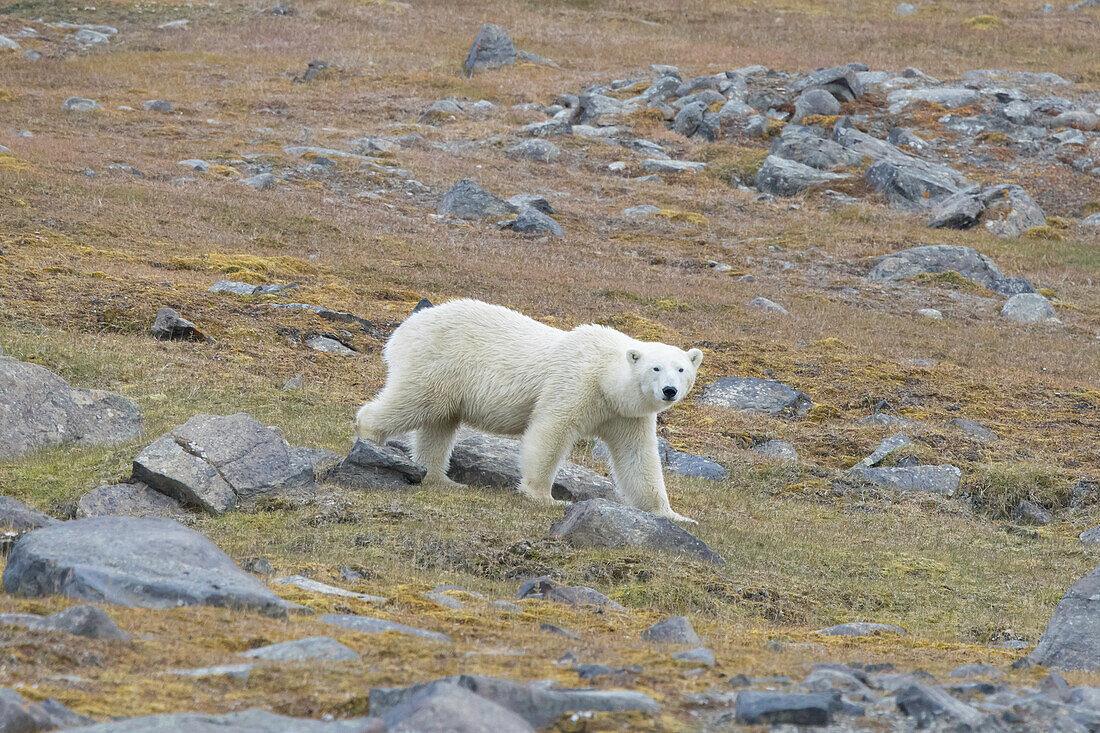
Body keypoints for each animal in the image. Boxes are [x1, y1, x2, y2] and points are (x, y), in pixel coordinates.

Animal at [356, 297, 708, 519]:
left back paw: (442, 479)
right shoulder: (574, 384)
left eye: (681, 369)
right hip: (438, 364)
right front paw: (544, 496)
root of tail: (403, 330)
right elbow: (551, 431)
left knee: (440, 423)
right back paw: (369, 438)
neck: (605, 375)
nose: (669, 391)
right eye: (655, 368)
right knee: (414, 401)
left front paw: (673, 515)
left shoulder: (625, 414)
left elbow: (638, 457)